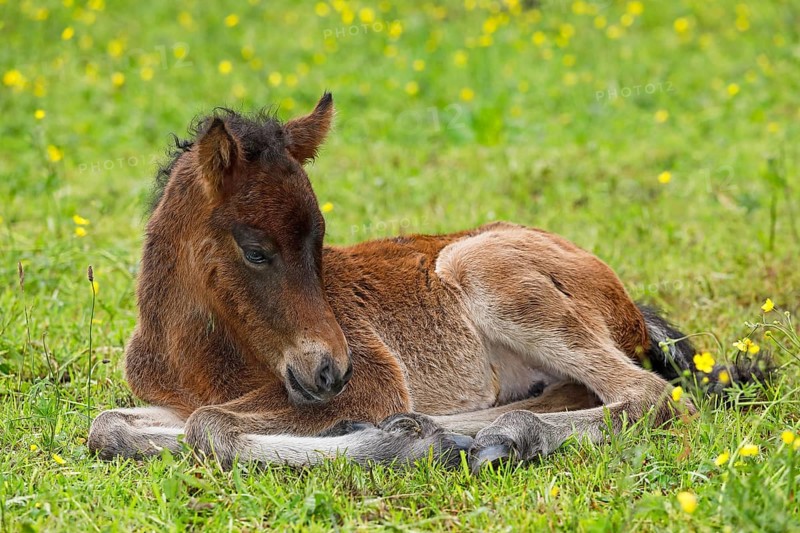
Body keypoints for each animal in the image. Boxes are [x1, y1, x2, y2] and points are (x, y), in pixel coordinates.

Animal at [89, 93, 729, 472]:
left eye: (321, 244)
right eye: (255, 251)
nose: (331, 372)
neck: (194, 355)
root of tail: (627, 302)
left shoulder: (373, 381)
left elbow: (209, 425)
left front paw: (399, 441)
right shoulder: (177, 399)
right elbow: (109, 426)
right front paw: (406, 435)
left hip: (481, 270)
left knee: (647, 393)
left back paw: (503, 436)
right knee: (579, 392)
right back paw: (458, 431)